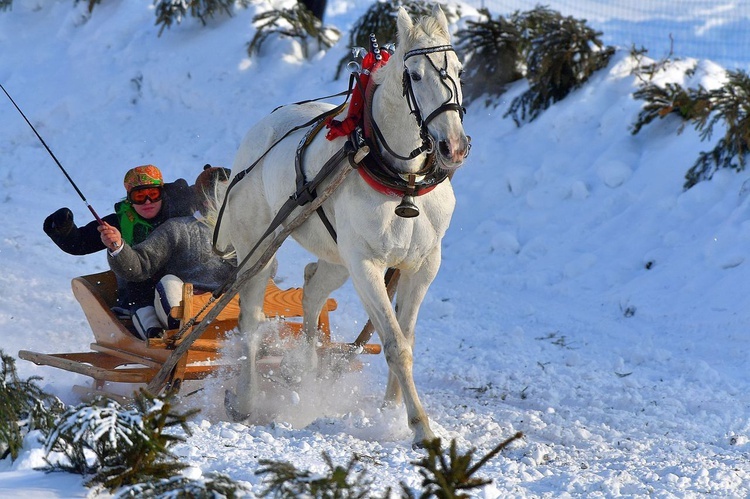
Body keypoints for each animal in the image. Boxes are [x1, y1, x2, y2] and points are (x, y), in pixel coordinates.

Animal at [213, 5, 470, 448]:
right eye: (415, 75)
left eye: (457, 69)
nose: (454, 146)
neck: (403, 183)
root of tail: (259, 132)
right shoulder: (367, 265)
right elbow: (395, 344)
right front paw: (419, 426)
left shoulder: (423, 265)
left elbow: (406, 337)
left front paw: (391, 413)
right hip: (260, 249)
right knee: (251, 322)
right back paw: (246, 400)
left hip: (336, 258)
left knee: (312, 289)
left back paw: (306, 373)